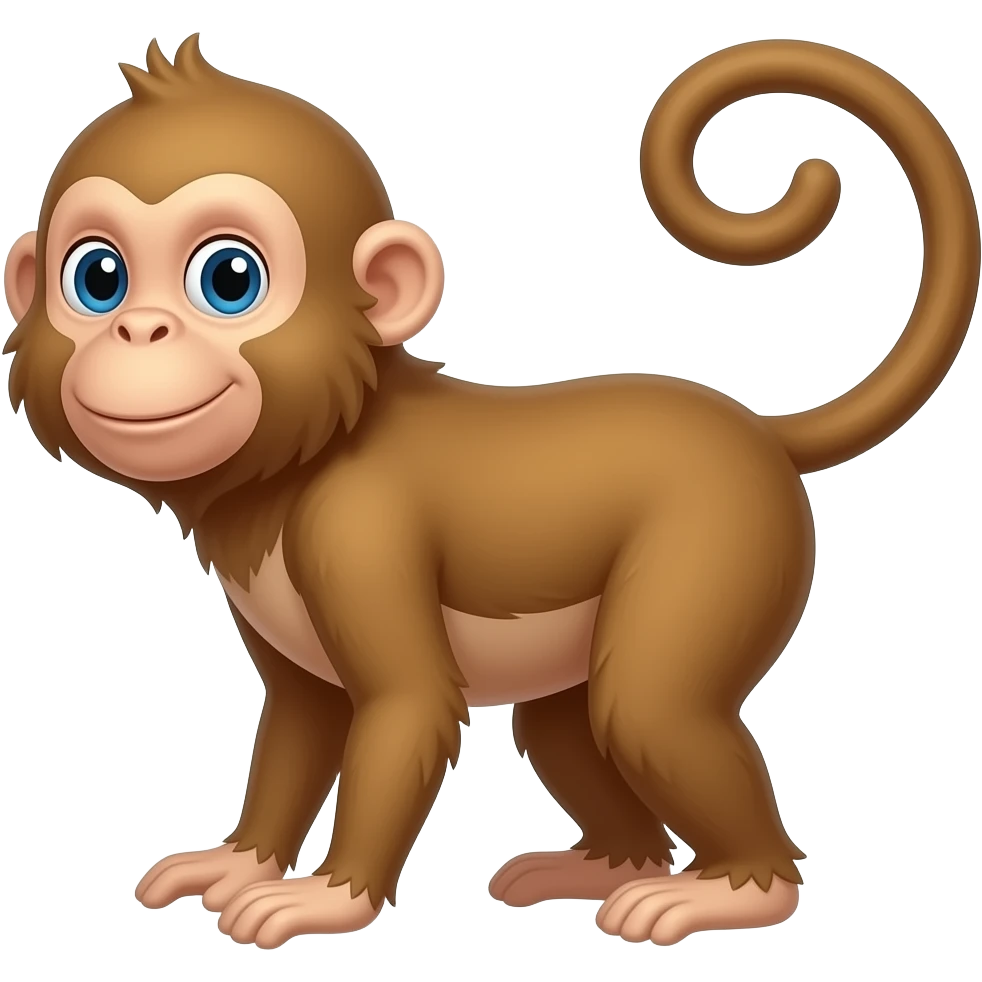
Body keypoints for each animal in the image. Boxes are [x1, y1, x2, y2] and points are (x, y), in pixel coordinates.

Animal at [2, 35, 978, 950]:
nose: (139, 329)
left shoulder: (356, 528)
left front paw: (328, 898)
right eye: (98, 278)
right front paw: (237, 861)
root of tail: (757, 430)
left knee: (651, 708)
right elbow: (304, 718)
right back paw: (609, 866)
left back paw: (735, 889)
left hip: (726, 537)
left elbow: (405, 705)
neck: (308, 449)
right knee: (562, 726)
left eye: (229, 280)